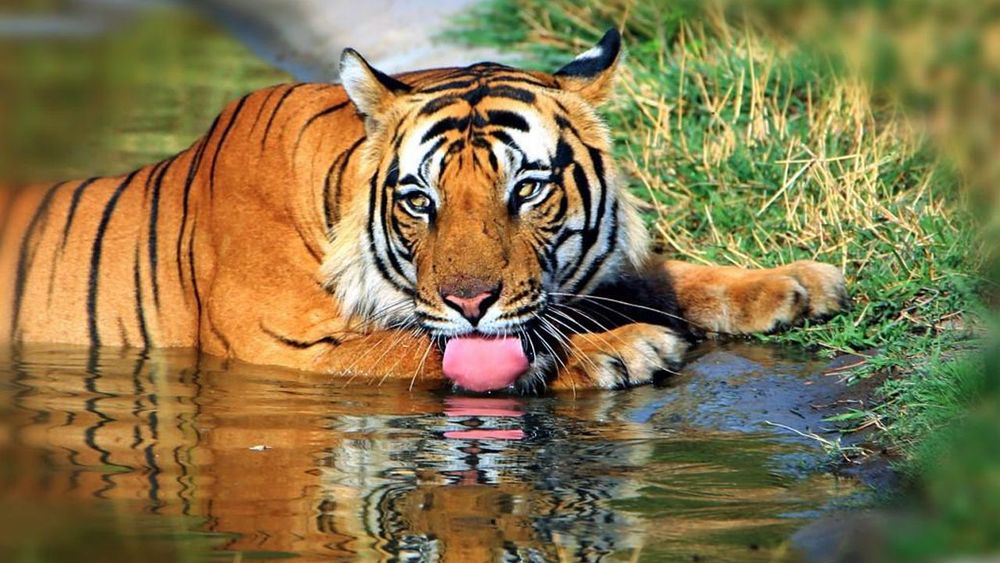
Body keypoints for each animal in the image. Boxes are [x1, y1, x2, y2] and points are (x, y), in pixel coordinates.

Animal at [0, 29, 849, 393]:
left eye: (527, 188)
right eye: (419, 200)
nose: (471, 300)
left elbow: (663, 272)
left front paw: (795, 284)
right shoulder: (290, 347)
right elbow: (416, 347)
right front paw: (620, 348)